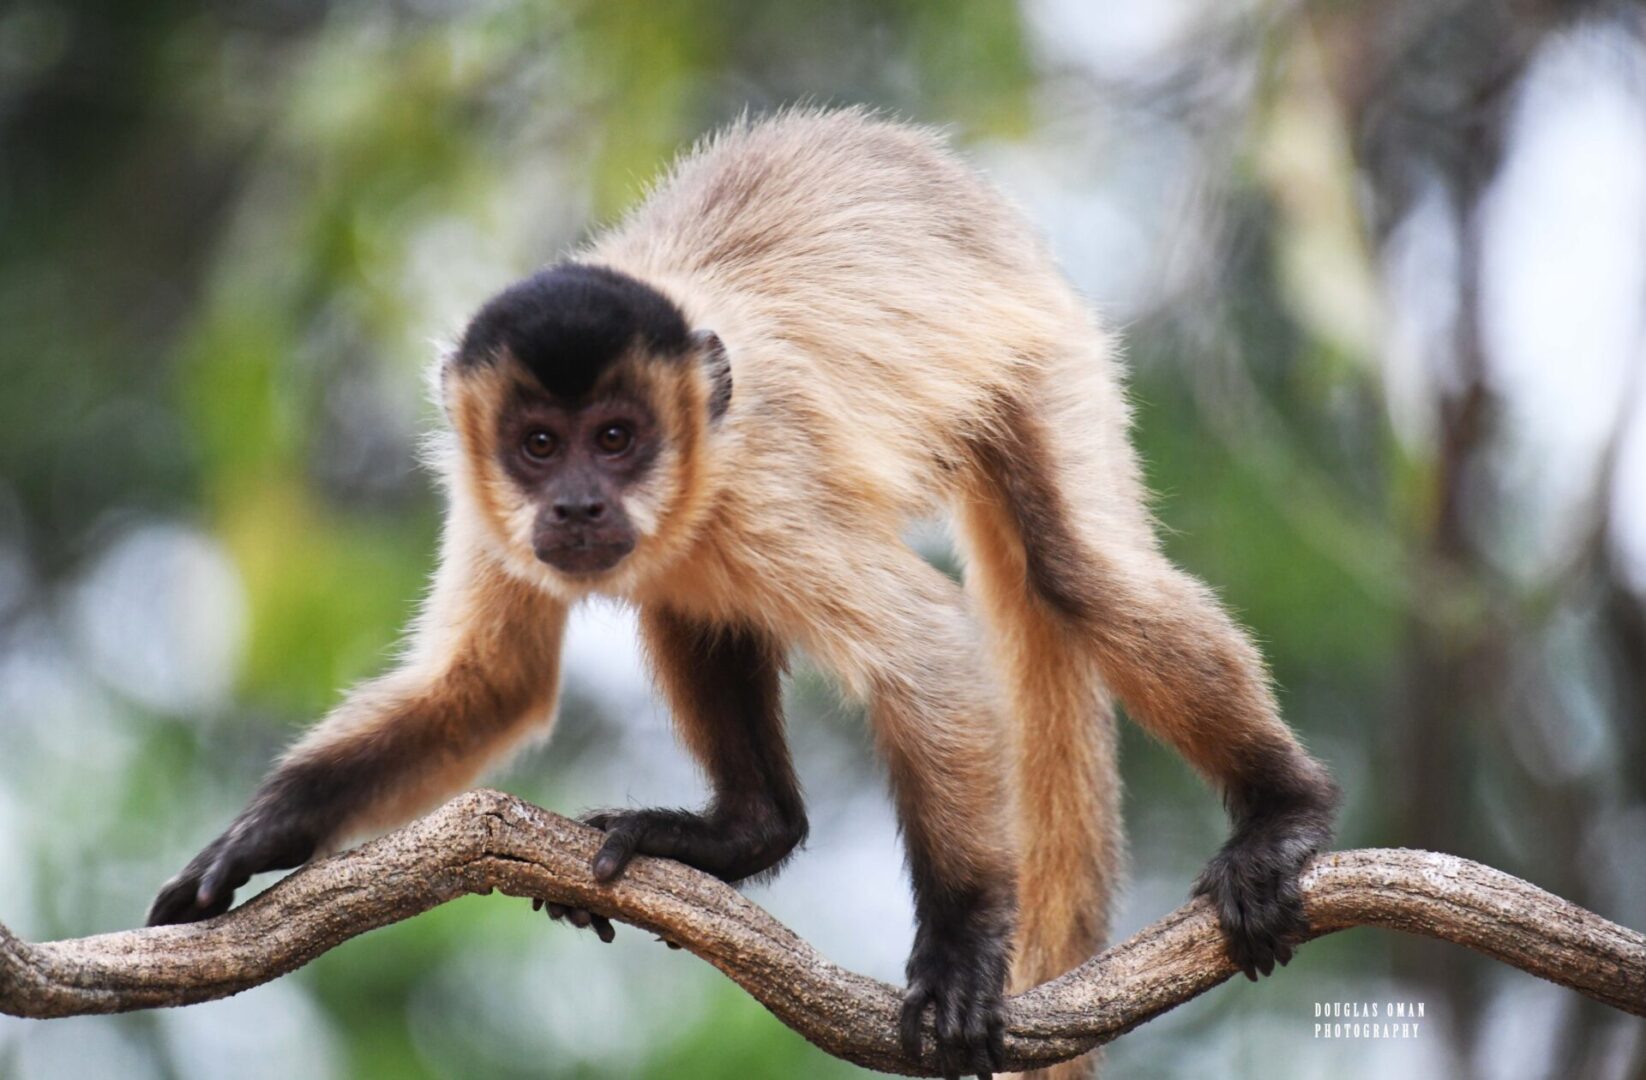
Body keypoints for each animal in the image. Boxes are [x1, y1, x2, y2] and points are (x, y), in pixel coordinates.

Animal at [148, 107, 1343, 1080]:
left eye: (615, 438)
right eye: (538, 446)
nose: (577, 502)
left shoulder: (766, 480)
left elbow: (926, 644)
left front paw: (960, 950)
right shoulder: (486, 507)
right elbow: (490, 683)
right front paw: (258, 840)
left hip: (1049, 356)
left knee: (1073, 571)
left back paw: (1285, 813)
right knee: (688, 596)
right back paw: (745, 834)